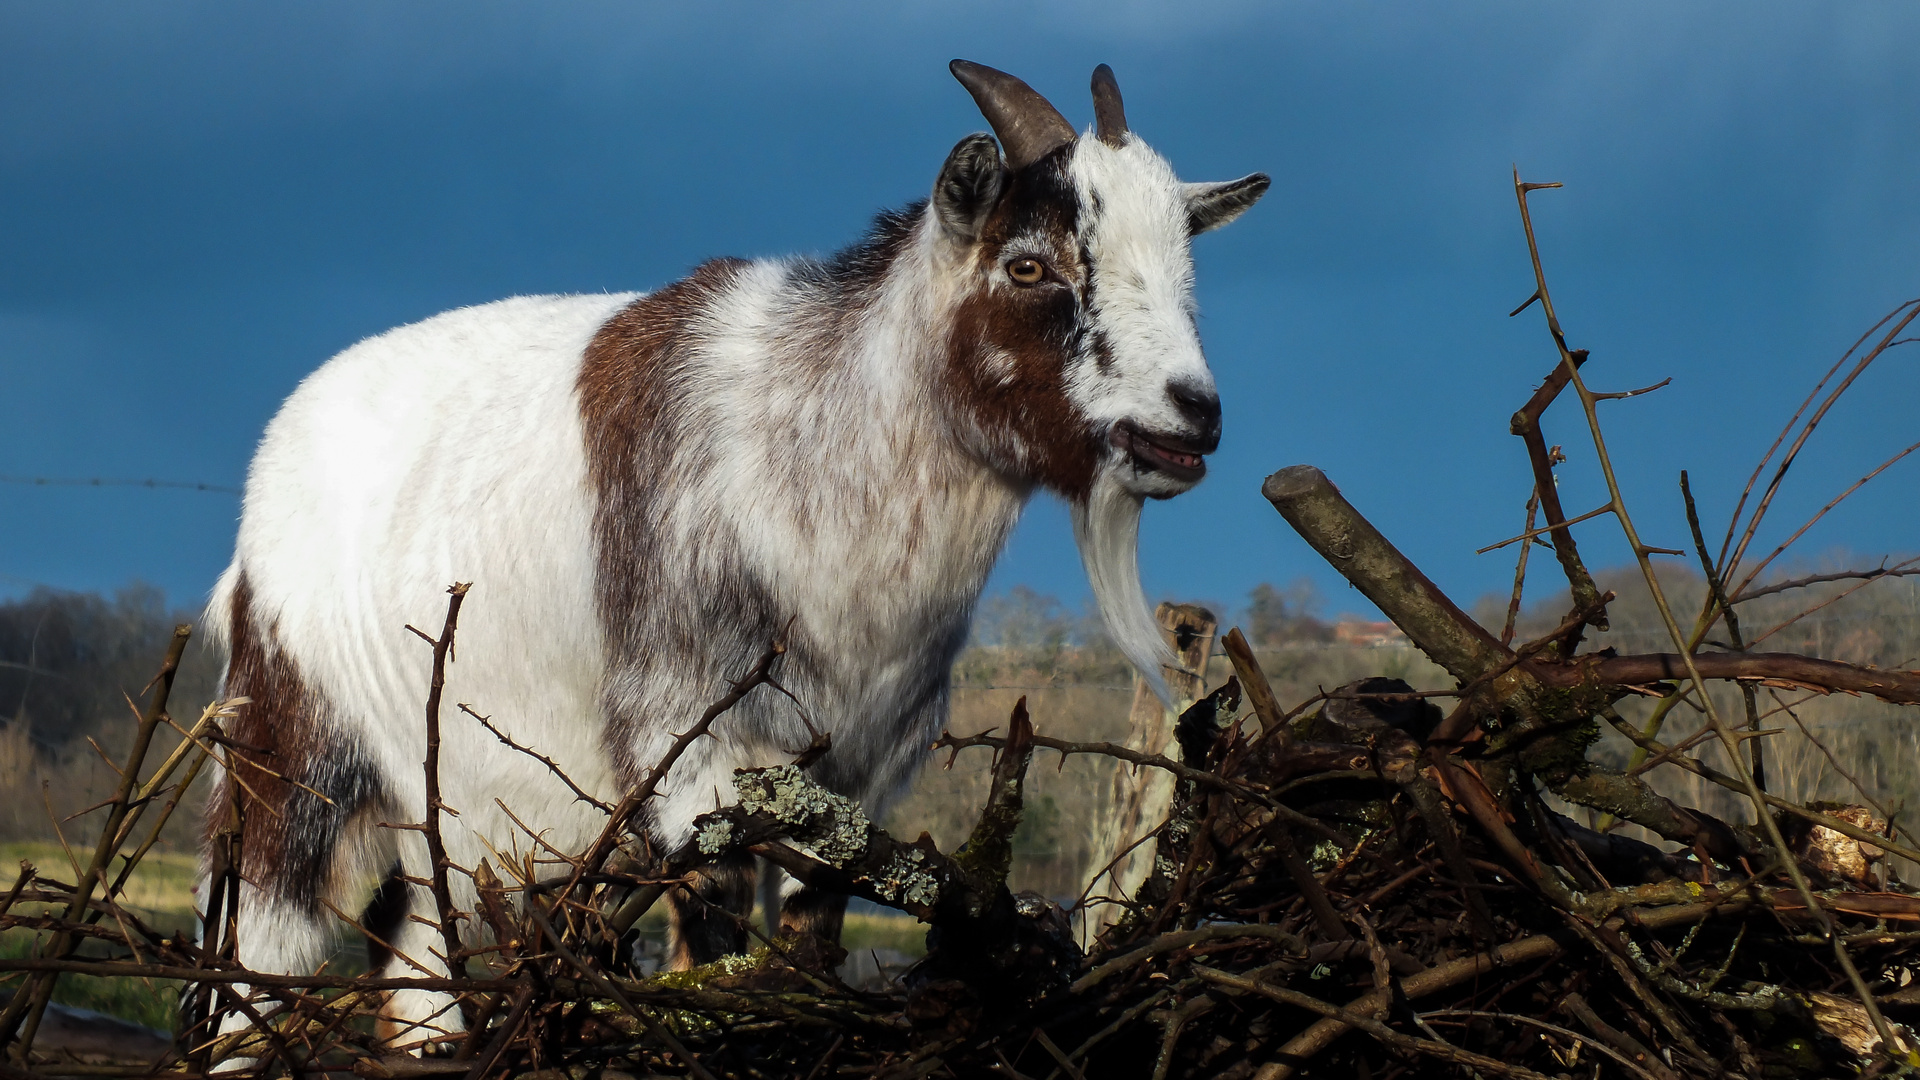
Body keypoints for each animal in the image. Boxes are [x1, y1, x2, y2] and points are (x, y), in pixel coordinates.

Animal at [210, 61, 1267, 1045]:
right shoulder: (686, 751)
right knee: (260, 967)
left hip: (449, 824)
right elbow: (710, 935)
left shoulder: (855, 772)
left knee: (416, 968)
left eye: (1185, 265)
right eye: (1029, 267)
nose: (1193, 417)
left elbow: (809, 937)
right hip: (294, 768)